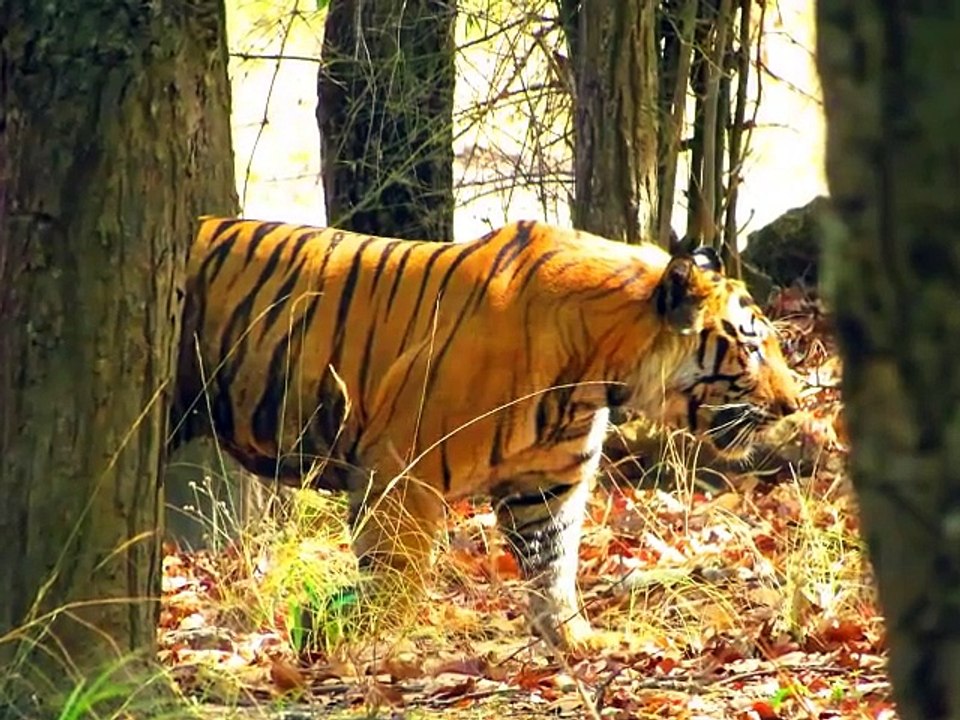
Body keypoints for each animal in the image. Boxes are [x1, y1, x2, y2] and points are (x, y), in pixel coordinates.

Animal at [170, 217, 799, 651]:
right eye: (752, 347)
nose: (794, 405)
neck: (594, 375)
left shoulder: (547, 483)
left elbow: (553, 566)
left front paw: (576, 640)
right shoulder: (403, 471)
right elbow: (398, 574)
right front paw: (370, 643)